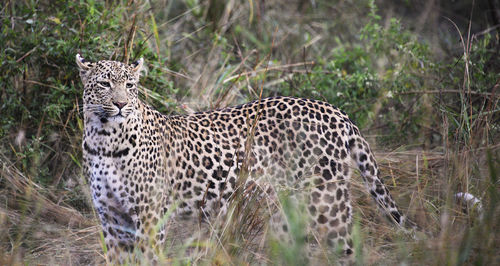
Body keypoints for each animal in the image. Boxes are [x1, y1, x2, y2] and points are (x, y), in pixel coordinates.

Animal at [76, 54, 412, 264]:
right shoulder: (112, 219)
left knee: (348, 249)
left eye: (130, 86)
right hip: (288, 212)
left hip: (327, 202)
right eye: (105, 84)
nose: (121, 104)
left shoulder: (149, 217)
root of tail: (334, 110)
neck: (104, 139)